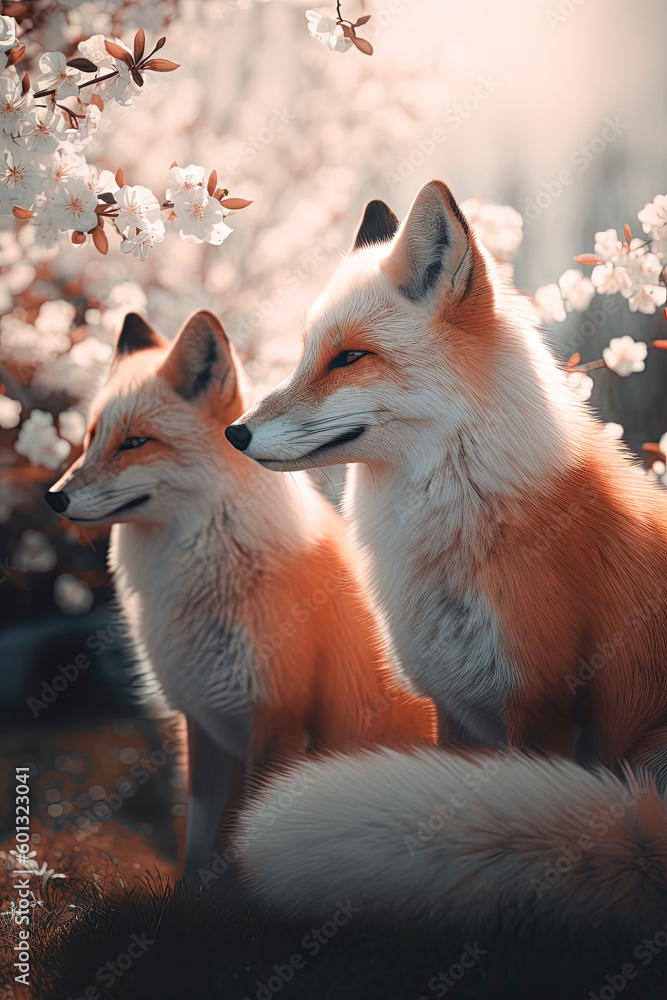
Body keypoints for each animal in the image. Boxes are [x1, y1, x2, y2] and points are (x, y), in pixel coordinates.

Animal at [44, 308, 436, 878]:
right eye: (92, 437)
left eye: (136, 443)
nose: (53, 498)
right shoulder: (203, 723)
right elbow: (197, 847)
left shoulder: (277, 719)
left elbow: (236, 847)